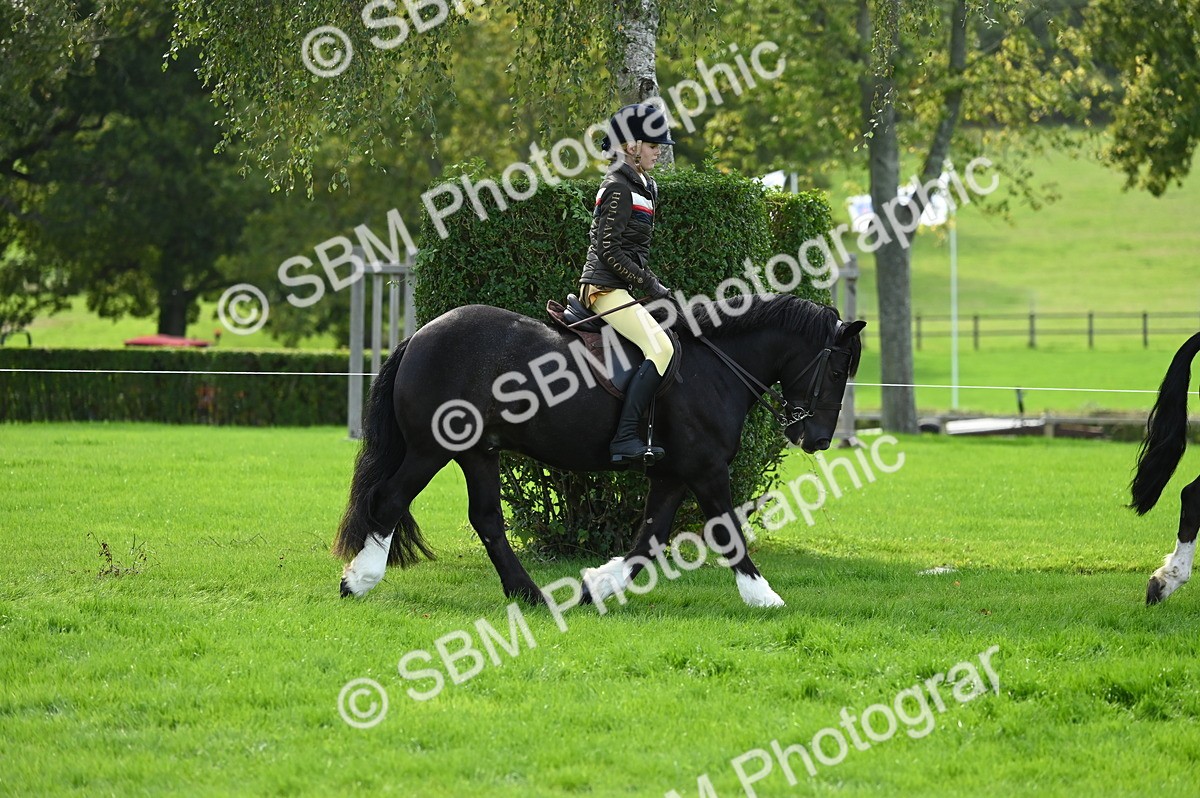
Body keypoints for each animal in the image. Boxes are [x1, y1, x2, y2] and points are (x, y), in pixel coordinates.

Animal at [331, 293, 865, 608]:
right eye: (839, 370)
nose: (818, 439)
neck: (715, 367)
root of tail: (420, 335)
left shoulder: (673, 474)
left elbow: (648, 542)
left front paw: (595, 585)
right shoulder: (707, 470)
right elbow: (727, 531)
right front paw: (763, 596)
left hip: (479, 451)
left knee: (486, 519)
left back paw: (529, 594)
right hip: (431, 449)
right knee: (390, 500)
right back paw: (358, 581)